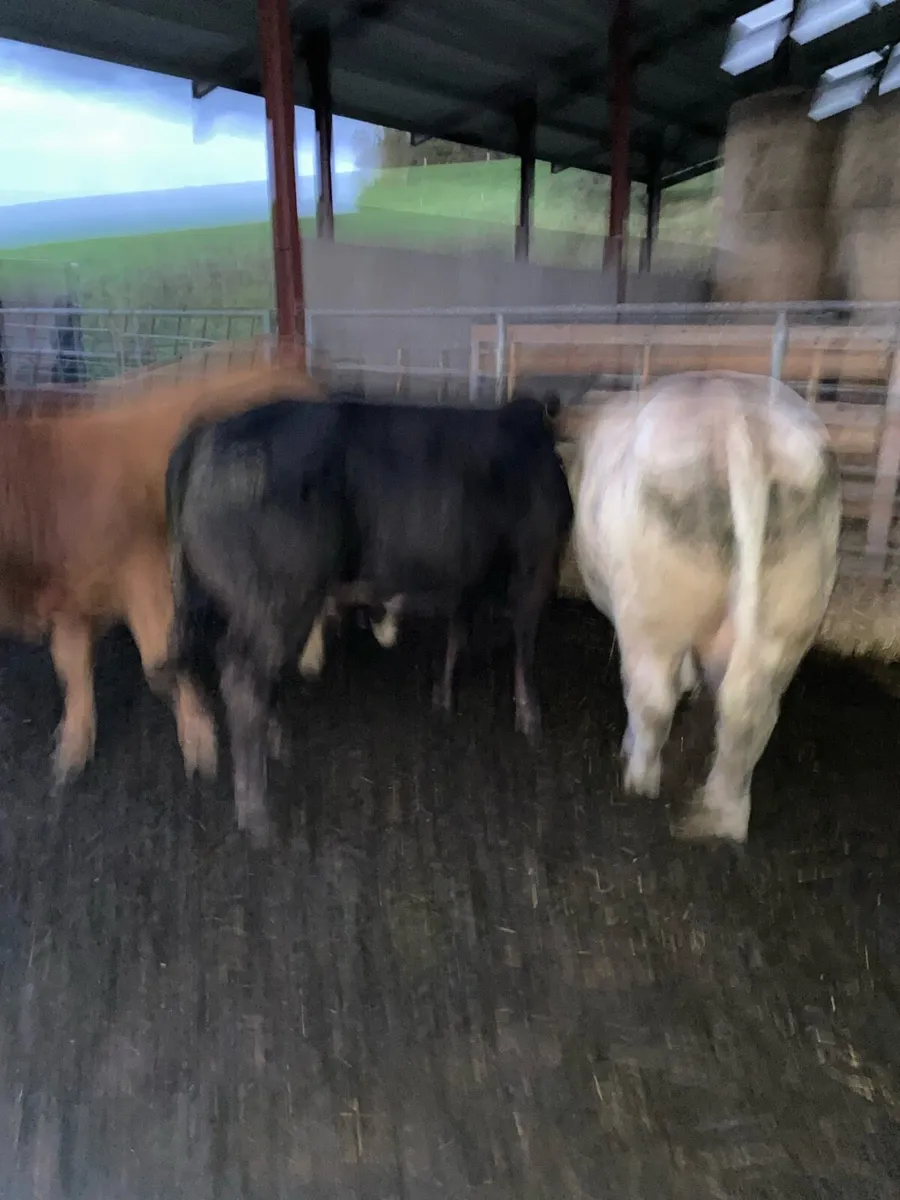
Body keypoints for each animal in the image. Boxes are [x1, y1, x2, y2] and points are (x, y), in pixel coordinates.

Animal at [0, 350, 321, 791]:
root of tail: (291, 371)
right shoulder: (69, 603)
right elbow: (70, 668)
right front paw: (70, 753)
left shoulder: (145, 570)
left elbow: (158, 662)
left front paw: (202, 748)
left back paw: (309, 659)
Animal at [165, 389, 574, 844]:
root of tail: (203, 436)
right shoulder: (536, 562)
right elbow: (524, 643)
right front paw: (531, 721)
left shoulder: (468, 574)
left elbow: (458, 631)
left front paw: (443, 698)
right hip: (278, 596)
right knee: (242, 676)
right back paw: (258, 818)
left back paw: (276, 745)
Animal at [572, 370, 841, 844]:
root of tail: (735, 413)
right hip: (794, 606)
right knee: (751, 707)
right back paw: (724, 816)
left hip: (654, 614)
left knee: (652, 699)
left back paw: (639, 782)